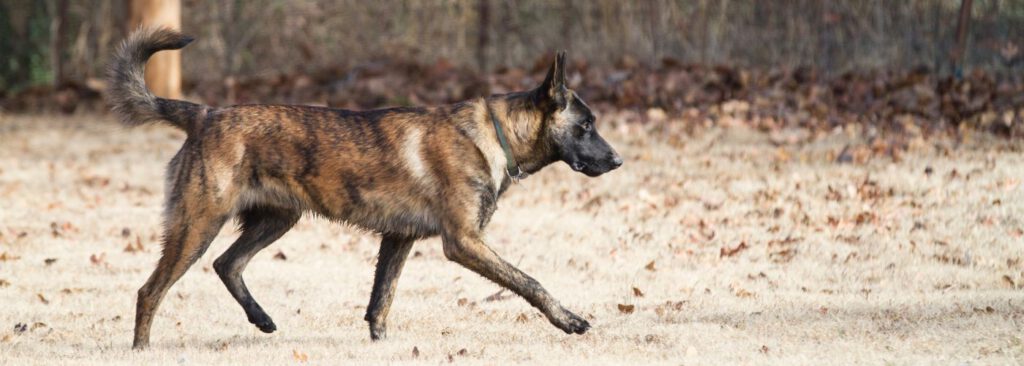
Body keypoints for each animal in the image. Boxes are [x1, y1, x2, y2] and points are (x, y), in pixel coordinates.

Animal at [108, 27, 618, 348]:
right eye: (586, 125)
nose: (617, 160)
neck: (493, 133)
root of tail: (204, 114)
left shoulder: (398, 240)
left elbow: (380, 304)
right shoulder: (464, 243)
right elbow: (530, 282)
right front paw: (569, 320)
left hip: (276, 219)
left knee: (227, 264)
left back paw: (262, 319)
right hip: (197, 225)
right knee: (150, 291)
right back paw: (142, 349)